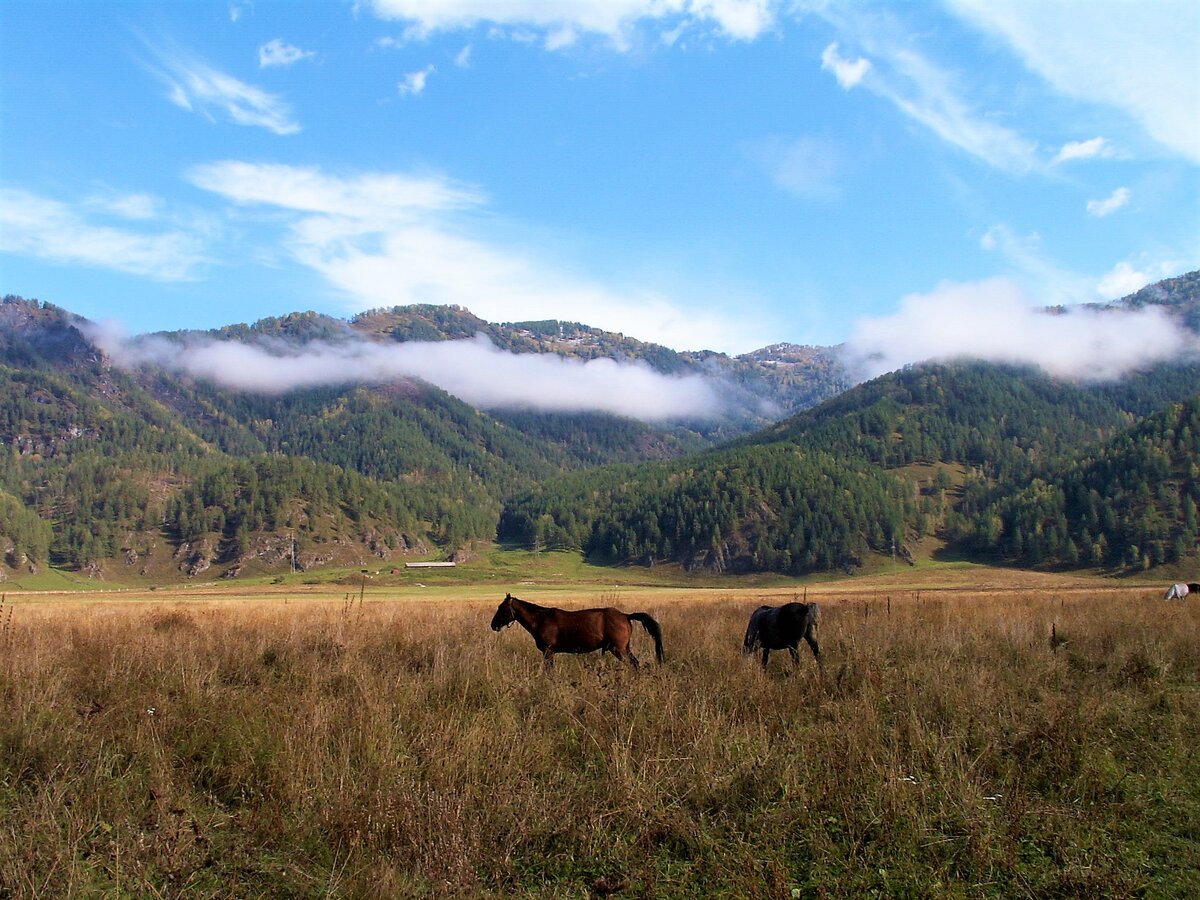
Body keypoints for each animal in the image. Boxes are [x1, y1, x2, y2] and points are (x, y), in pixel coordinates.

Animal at [492, 595, 672, 672]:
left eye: (501, 608)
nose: (493, 625)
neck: (541, 619)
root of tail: (626, 615)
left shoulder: (548, 652)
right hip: (624, 648)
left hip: (618, 649)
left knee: (633, 664)